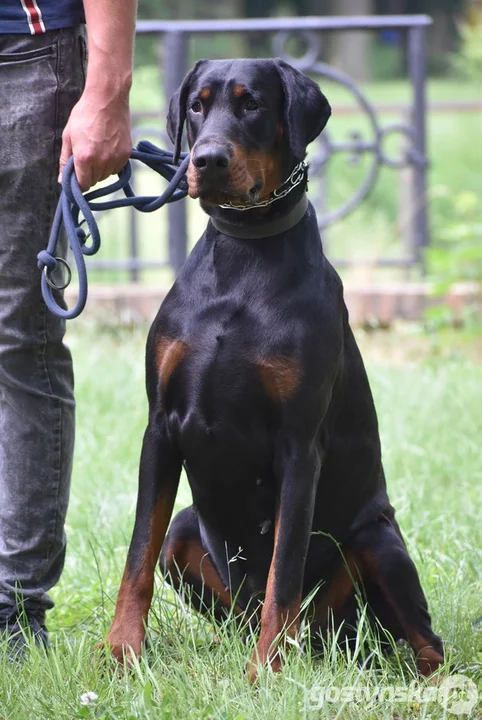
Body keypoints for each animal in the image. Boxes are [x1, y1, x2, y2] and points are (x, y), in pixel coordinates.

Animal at [105, 57, 444, 680]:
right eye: (198, 104)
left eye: (253, 103)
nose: (208, 159)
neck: (245, 255)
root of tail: (334, 641)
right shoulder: (160, 428)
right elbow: (138, 553)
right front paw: (121, 652)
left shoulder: (298, 447)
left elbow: (283, 573)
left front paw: (265, 673)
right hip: (189, 536)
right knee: (221, 590)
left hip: (379, 542)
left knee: (424, 642)